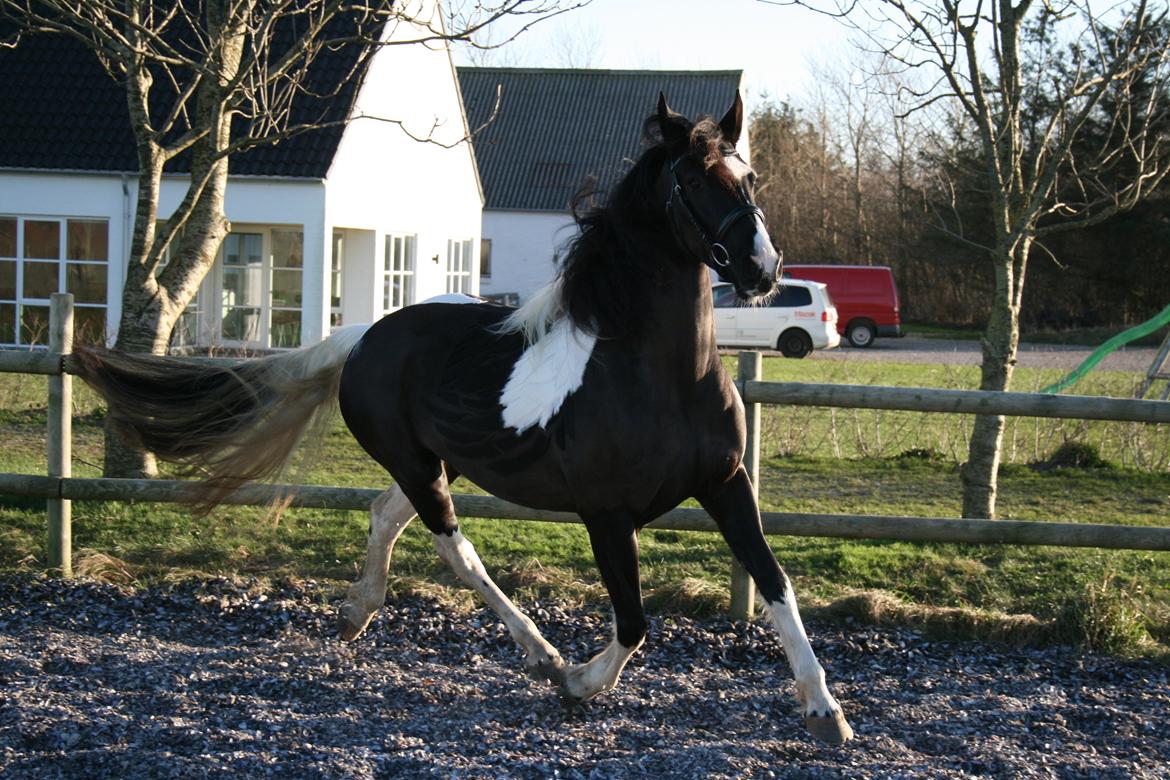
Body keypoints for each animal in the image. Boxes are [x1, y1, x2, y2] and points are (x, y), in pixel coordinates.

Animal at [77, 91, 856, 743]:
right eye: (693, 182)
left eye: (749, 179)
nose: (763, 270)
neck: (659, 374)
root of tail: (364, 336)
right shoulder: (607, 513)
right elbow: (634, 620)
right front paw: (581, 682)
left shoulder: (726, 484)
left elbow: (776, 584)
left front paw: (825, 711)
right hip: (420, 464)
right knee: (454, 546)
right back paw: (540, 654)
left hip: (438, 460)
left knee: (385, 514)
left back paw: (357, 612)